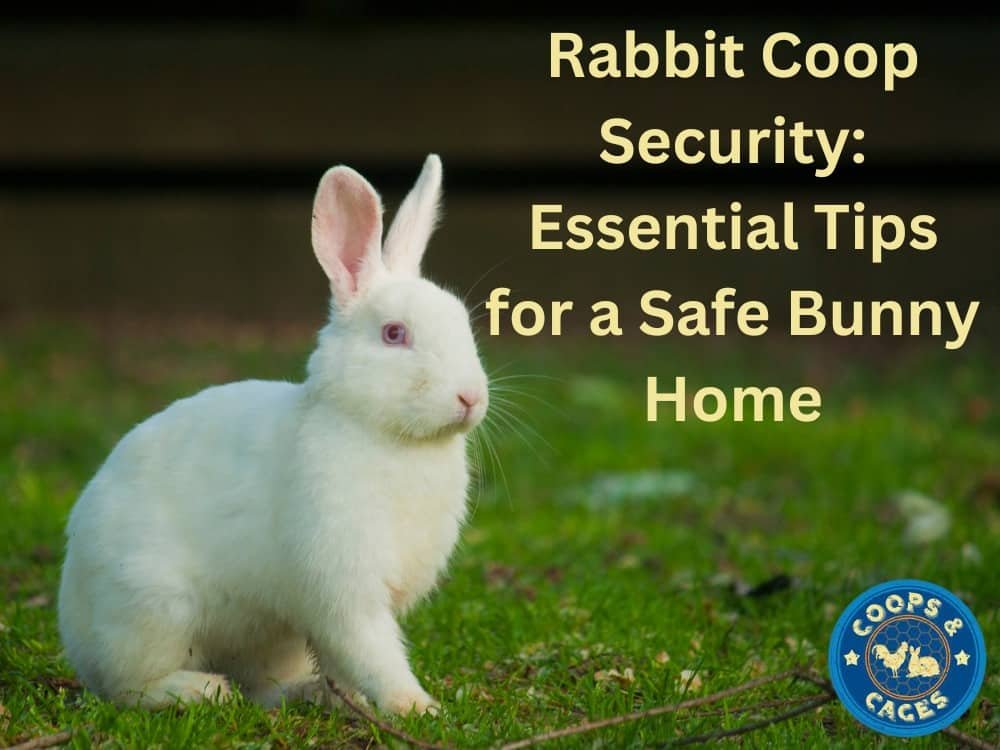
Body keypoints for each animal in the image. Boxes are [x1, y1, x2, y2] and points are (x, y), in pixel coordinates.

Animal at [57, 154, 488, 715]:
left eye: (462, 323)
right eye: (394, 334)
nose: (470, 397)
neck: (386, 433)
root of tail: (73, 623)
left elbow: (345, 660)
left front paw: (356, 702)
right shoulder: (344, 588)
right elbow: (371, 650)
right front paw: (415, 707)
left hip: (268, 636)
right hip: (154, 607)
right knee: (128, 685)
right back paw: (202, 689)